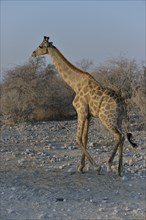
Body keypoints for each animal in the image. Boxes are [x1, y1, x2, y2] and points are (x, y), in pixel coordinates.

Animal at [31, 36, 137, 177]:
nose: (33, 53)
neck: (76, 84)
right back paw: (119, 170)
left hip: (106, 118)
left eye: (40, 46)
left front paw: (95, 167)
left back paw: (109, 164)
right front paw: (81, 167)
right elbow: (85, 138)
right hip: (118, 119)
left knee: (118, 136)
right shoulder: (88, 115)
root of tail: (123, 104)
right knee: (123, 136)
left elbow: (78, 138)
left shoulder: (80, 111)